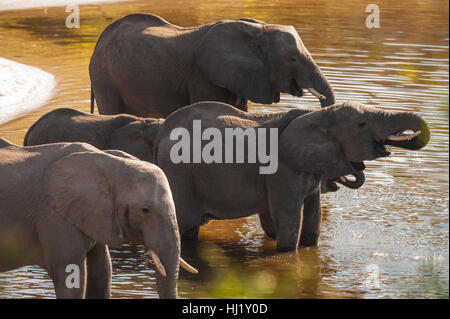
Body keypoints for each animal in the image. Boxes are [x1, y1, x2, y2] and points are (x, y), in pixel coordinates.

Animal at [0, 140, 197, 300]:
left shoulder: (96, 214)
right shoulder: (54, 216)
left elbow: (101, 274)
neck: (107, 160)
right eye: (145, 210)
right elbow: (70, 280)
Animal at [154, 101, 428, 251]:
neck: (315, 114)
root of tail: (162, 131)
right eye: (361, 125)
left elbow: (314, 216)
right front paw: (287, 252)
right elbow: (288, 218)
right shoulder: (282, 169)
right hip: (179, 174)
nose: (353, 172)